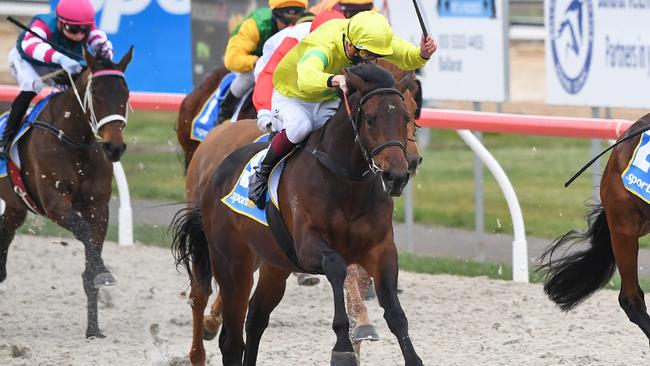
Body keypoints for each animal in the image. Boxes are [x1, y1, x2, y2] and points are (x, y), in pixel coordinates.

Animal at [0, 48, 134, 338]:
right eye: (96, 95)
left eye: (126, 94)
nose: (114, 147)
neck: (74, 140)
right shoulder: (55, 204)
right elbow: (82, 230)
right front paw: (103, 271)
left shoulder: (98, 208)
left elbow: (90, 258)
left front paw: (93, 328)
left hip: (15, 207)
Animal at [171, 63, 420, 366]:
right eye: (371, 119)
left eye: (408, 116)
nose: (398, 174)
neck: (346, 182)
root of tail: (217, 169)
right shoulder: (308, 247)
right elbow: (336, 266)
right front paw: (342, 346)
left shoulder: (380, 250)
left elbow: (395, 312)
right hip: (231, 265)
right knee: (226, 333)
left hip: (274, 265)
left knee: (255, 319)